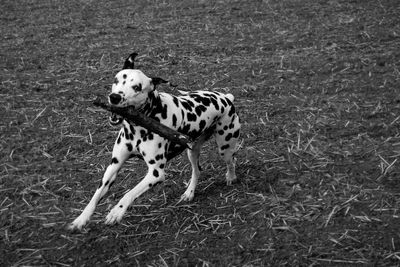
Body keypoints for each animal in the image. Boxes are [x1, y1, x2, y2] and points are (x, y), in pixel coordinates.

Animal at [68, 52, 241, 230]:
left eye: (137, 88)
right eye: (117, 80)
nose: (114, 97)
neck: (139, 126)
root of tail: (225, 97)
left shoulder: (155, 173)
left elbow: (129, 193)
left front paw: (117, 211)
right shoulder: (114, 165)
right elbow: (96, 195)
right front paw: (81, 218)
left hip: (225, 147)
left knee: (231, 161)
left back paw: (231, 177)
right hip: (192, 151)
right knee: (197, 171)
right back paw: (189, 193)